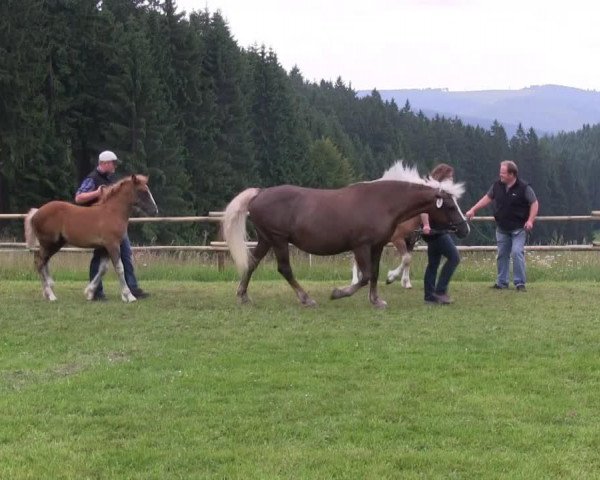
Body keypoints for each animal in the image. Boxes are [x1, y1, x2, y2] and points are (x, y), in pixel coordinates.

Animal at [24, 174, 158, 302]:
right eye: (143, 191)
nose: (155, 210)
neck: (113, 212)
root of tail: (36, 213)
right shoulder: (112, 245)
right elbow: (120, 268)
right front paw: (129, 296)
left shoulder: (104, 247)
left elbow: (102, 269)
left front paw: (90, 292)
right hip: (49, 243)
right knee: (39, 262)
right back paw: (51, 295)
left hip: (55, 244)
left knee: (43, 261)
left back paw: (48, 290)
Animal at [223, 162, 472, 308]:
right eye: (450, 206)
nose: (464, 229)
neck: (382, 202)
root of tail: (260, 193)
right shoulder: (361, 246)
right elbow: (365, 275)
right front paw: (339, 293)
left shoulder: (377, 246)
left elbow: (374, 273)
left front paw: (376, 299)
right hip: (278, 240)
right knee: (284, 269)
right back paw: (305, 298)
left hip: (266, 239)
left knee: (252, 263)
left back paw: (243, 295)